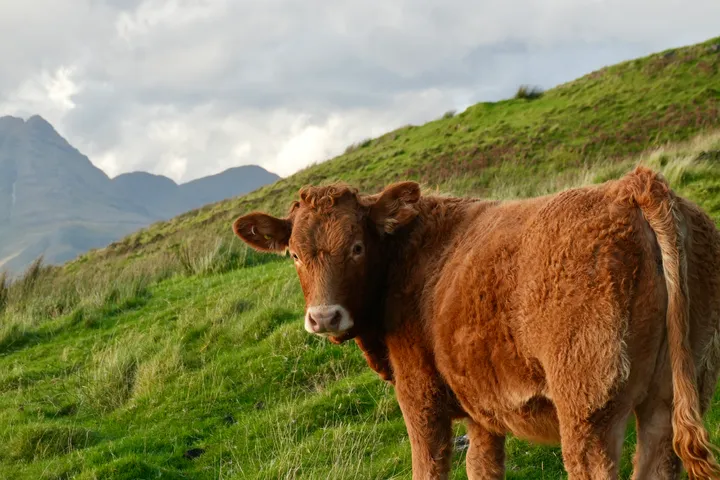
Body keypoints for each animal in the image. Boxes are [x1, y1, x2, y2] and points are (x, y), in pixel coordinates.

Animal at [233, 167, 720, 479]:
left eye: (356, 247)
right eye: (294, 254)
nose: (324, 317)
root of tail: (633, 186)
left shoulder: (420, 397)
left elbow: (429, 467)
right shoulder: (481, 406)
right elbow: (482, 468)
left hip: (588, 405)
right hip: (676, 390)